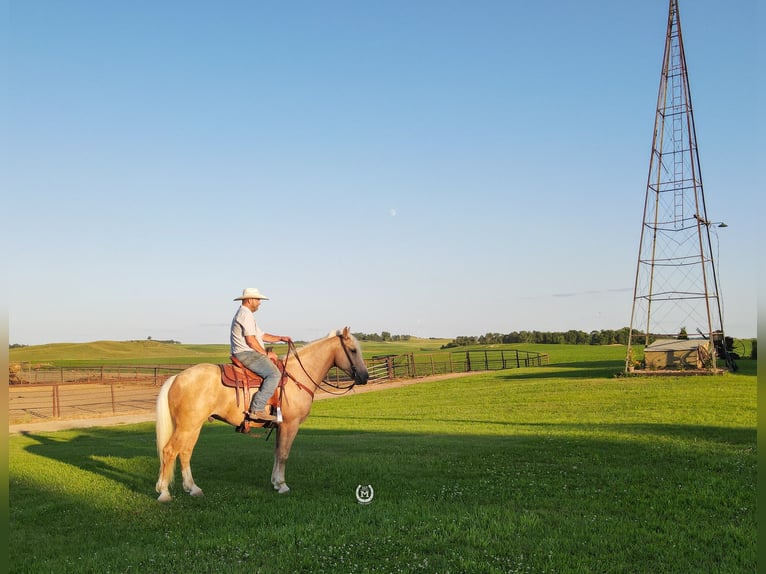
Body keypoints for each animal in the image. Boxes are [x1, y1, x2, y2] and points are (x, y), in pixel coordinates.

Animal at [155, 328, 368, 504]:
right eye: (353, 350)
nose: (365, 377)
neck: (297, 376)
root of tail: (177, 377)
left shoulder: (281, 426)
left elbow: (277, 452)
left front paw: (275, 482)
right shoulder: (290, 424)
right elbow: (283, 454)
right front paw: (282, 485)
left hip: (193, 426)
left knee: (185, 452)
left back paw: (193, 489)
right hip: (187, 426)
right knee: (170, 451)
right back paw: (164, 493)